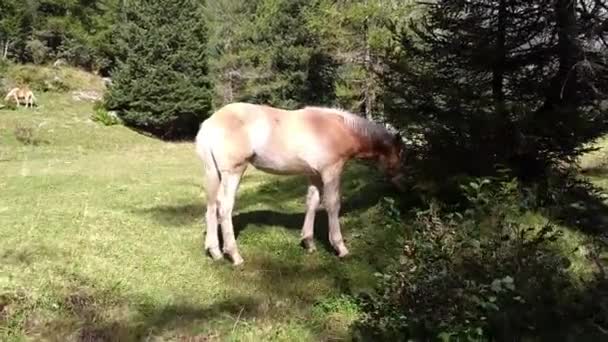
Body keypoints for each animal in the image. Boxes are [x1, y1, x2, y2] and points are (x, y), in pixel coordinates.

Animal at [195, 101, 406, 264]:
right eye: (400, 154)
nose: (402, 185)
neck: (339, 129)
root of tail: (209, 124)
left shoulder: (314, 175)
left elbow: (312, 203)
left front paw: (308, 242)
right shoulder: (331, 171)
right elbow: (332, 204)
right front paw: (340, 247)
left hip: (214, 173)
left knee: (211, 207)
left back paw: (215, 252)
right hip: (233, 172)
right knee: (224, 207)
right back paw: (234, 256)